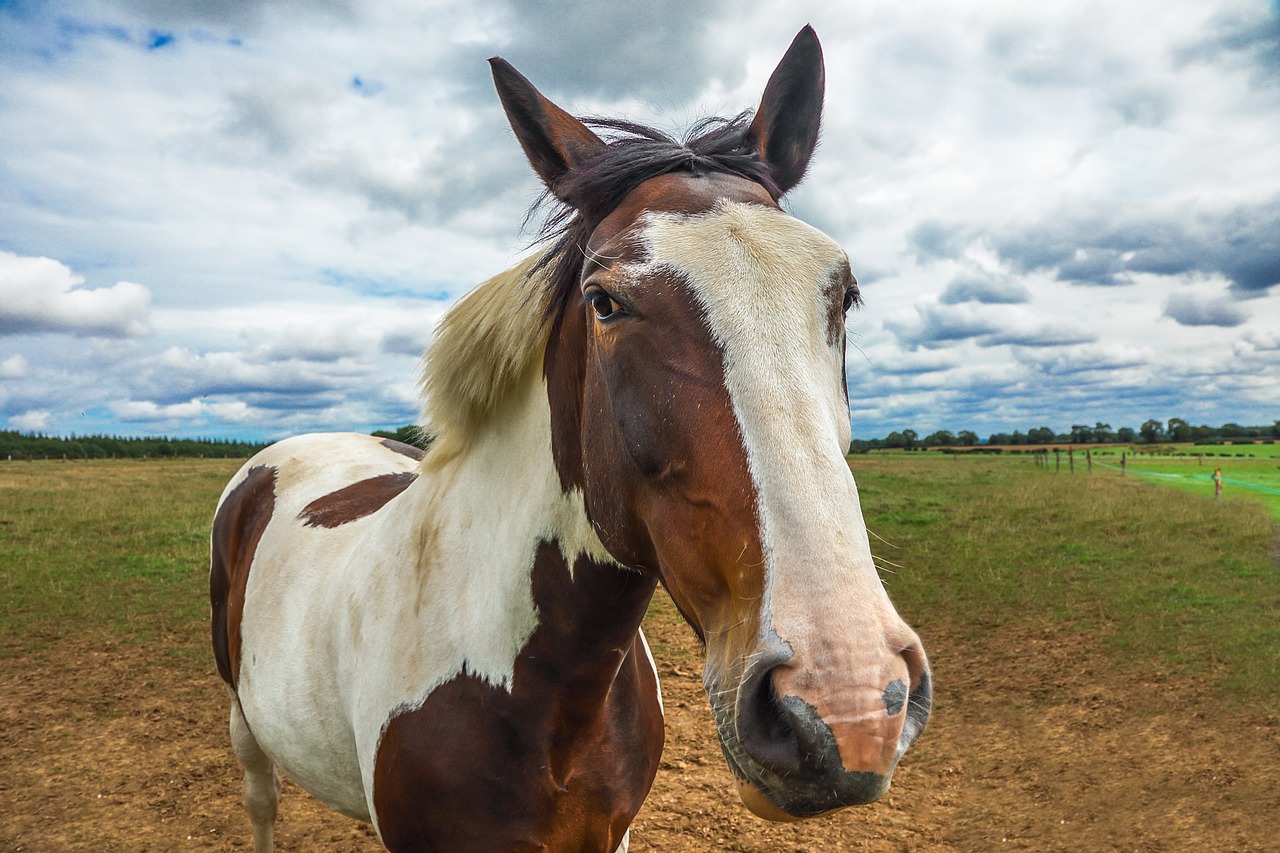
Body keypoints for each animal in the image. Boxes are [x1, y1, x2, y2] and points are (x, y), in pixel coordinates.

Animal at [209, 26, 931, 850]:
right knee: (260, 799)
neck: (545, 699)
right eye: (605, 300)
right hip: (243, 718)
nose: (844, 704)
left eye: (844, 295)